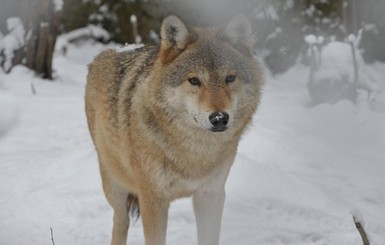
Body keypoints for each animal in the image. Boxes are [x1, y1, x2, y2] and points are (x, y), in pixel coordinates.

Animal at [85, 13, 262, 245]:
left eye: (230, 78)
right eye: (194, 80)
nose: (219, 118)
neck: (195, 154)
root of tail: (112, 50)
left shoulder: (211, 194)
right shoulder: (153, 199)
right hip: (115, 186)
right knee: (120, 221)